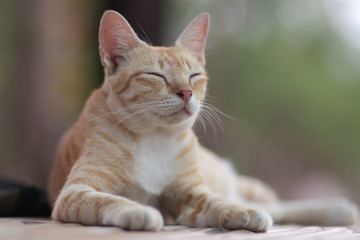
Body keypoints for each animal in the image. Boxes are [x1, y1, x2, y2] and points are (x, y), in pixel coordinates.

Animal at [47, 10, 358, 232]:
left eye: (193, 76)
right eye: (156, 76)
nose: (185, 92)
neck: (154, 139)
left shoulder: (191, 195)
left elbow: (221, 203)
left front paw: (245, 215)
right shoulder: (76, 192)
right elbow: (111, 200)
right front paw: (139, 211)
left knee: (269, 205)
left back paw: (338, 210)